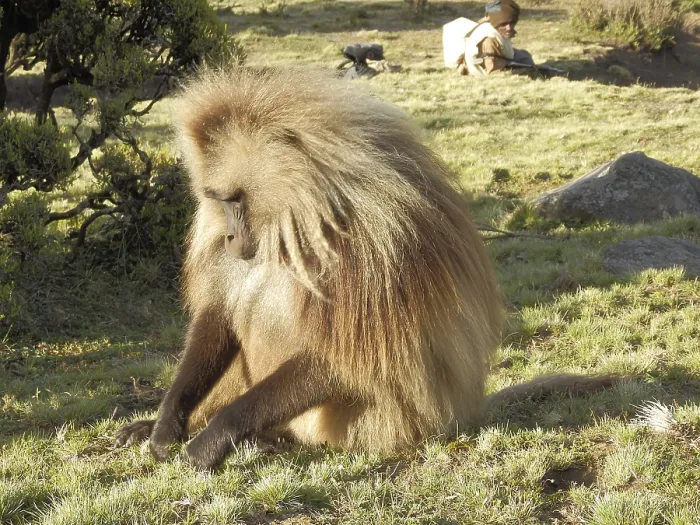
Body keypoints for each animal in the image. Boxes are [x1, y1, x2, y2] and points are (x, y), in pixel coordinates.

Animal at [115, 66, 614, 470]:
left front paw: (216, 436)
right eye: (218, 200)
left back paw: (264, 439)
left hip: (375, 425)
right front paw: (166, 423)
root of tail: (459, 413)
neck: (302, 214)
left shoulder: (368, 244)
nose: (232, 241)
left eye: (234, 199)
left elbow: (349, 357)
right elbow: (218, 315)